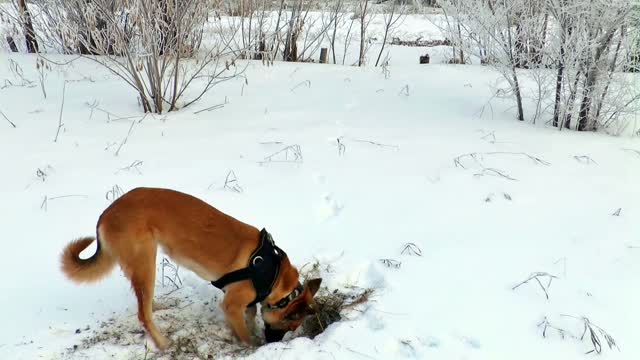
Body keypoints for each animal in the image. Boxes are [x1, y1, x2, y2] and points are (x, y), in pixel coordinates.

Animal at [60, 187, 320, 350]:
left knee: (145, 303)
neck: (273, 274)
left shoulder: (244, 303)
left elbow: (251, 316)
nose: (272, 344)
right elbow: (245, 334)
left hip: (144, 267)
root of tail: (106, 214)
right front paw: (251, 345)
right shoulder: (232, 304)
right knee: (143, 314)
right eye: (290, 325)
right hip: (146, 261)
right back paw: (163, 345)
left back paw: (157, 306)